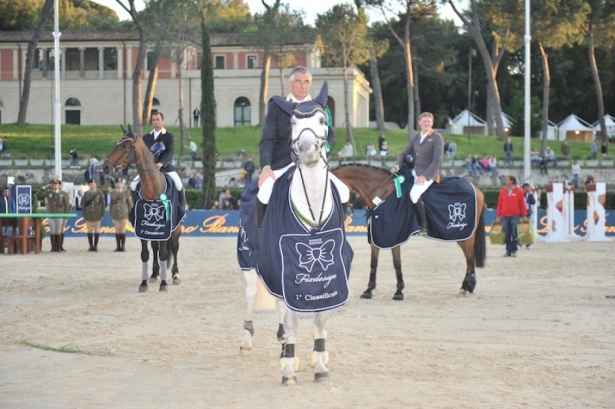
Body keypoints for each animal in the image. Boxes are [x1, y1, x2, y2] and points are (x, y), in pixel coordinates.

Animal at [101, 126, 182, 292]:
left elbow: (164, 253)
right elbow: (145, 254)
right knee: (155, 247)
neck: (153, 189)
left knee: (175, 247)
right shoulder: (142, 229)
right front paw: (144, 283)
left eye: (124, 146)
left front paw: (164, 284)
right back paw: (154, 274)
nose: (106, 166)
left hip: (176, 229)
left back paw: (175, 275)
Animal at [238, 82, 352, 382]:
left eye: (323, 120)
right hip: (249, 262)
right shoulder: (281, 263)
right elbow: (290, 319)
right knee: (252, 296)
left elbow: (319, 317)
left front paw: (320, 362)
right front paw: (289, 369)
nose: (307, 149)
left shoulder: (330, 269)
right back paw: (248, 339)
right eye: (292, 122)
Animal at [332, 163, 486, 300]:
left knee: (470, 257)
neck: (383, 195)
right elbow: (373, 263)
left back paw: (466, 287)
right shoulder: (377, 237)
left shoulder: (395, 237)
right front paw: (368, 290)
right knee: (469, 258)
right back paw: (468, 286)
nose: (342, 217)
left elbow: (397, 263)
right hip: (461, 236)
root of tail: (476, 188)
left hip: (466, 235)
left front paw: (399, 291)